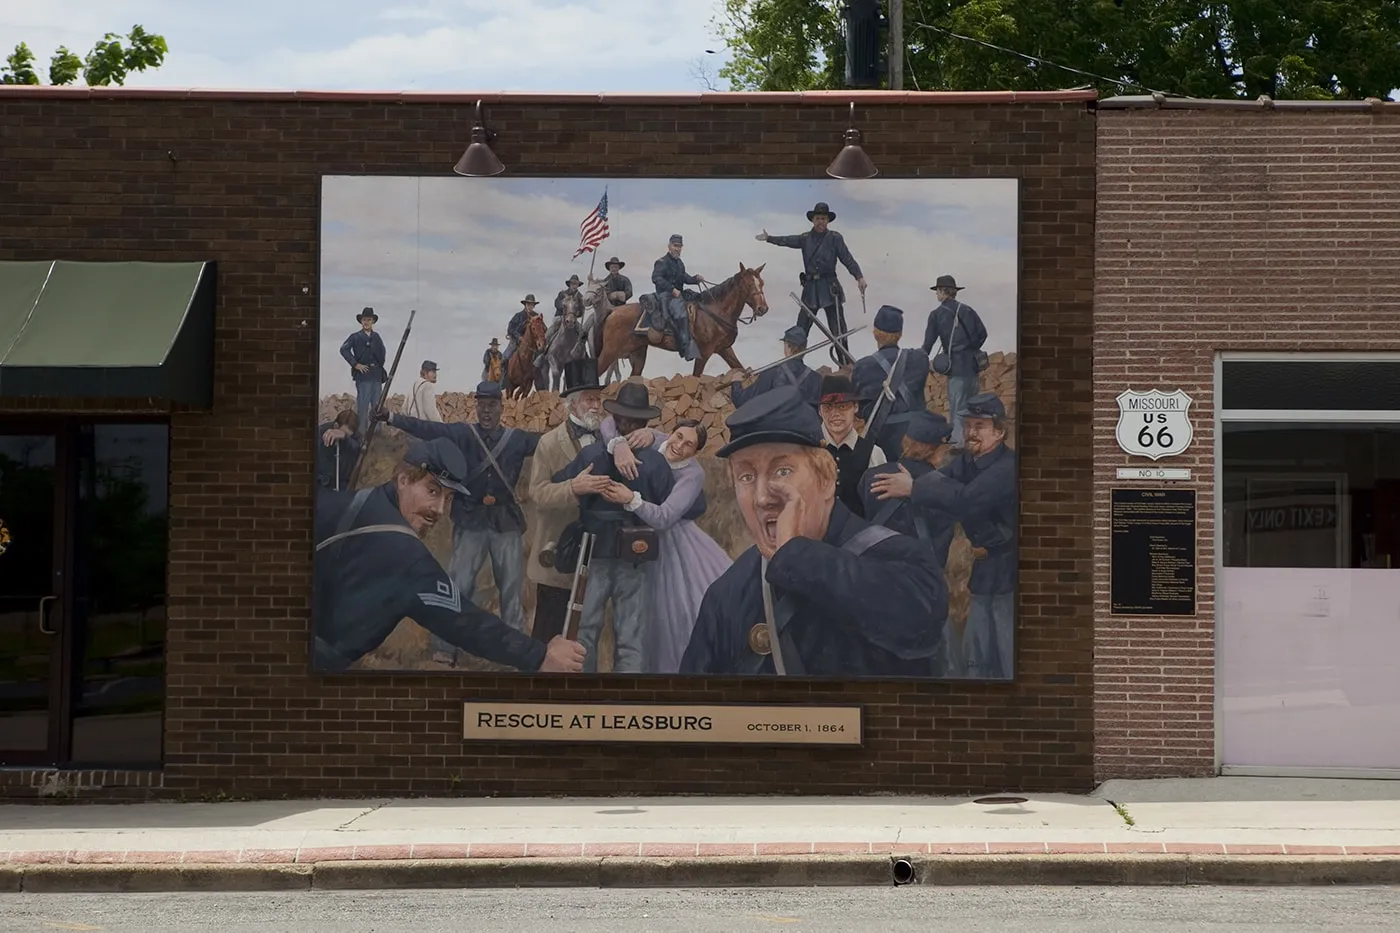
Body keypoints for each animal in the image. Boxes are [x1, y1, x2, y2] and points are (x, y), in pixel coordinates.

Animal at [590, 261, 767, 378]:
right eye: (748, 284)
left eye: (762, 283)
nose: (763, 309)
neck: (715, 311)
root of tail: (612, 311)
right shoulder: (704, 353)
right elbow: (696, 377)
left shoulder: (725, 350)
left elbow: (740, 367)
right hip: (610, 352)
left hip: (638, 353)